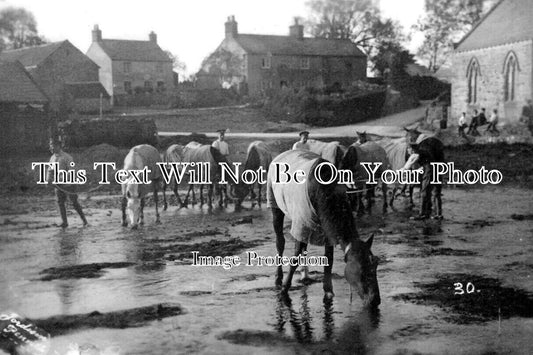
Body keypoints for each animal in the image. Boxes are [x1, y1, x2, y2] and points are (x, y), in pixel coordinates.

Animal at [266, 150, 378, 308]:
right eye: (362, 271)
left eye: (376, 264)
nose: (375, 300)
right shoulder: (301, 224)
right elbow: (294, 258)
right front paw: (284, 289)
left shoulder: (328, 232)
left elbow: (328, 260)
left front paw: (328, 290)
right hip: (274, 202)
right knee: (280, 241)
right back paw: (279, 275)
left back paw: (305, 275)